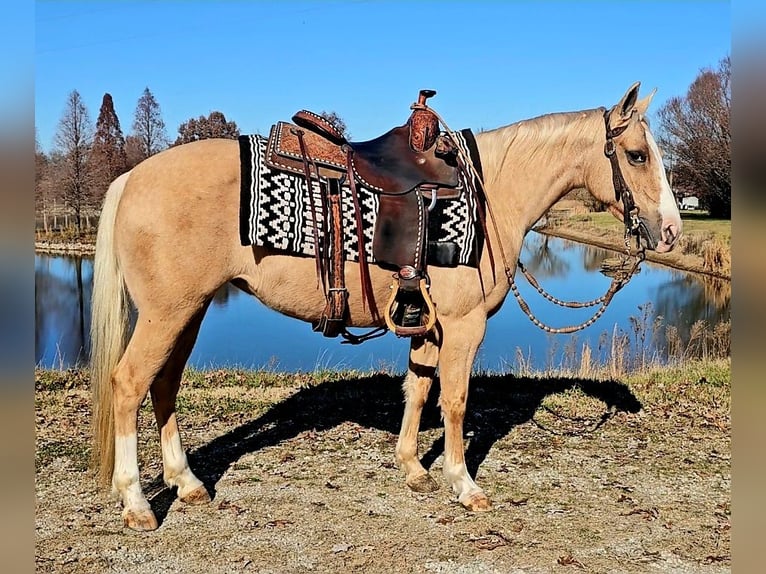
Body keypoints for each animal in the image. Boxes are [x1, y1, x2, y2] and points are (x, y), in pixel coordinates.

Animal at [90, 80, 684, 532]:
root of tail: (132, 176)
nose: (673, 231)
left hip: (187, 313)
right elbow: (455, 402)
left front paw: (412, 468)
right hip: (167, 315)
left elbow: (418, 389)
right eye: (637, 155)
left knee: (163, 385)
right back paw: (137, 503)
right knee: (129, 384)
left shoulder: (428, 325)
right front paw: (462, 483)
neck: (492, 193)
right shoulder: (464, 327)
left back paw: (186, 482)